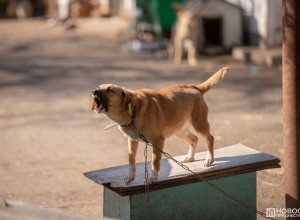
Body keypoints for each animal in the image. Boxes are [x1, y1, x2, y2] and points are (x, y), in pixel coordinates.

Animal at [91, 66, 227, 184]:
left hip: (199, 125)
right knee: (194, 139)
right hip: (179, 131)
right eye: (98, 87)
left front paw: (153, 178)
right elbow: (131, 160)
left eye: (110, 90)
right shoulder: (132, 140)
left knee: (209, 138)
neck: (133, 111)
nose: (93, 91)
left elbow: (154, 161)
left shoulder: (157, 142)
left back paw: (209, 159)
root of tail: (195, 87)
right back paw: (190, 157)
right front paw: (130, 176)